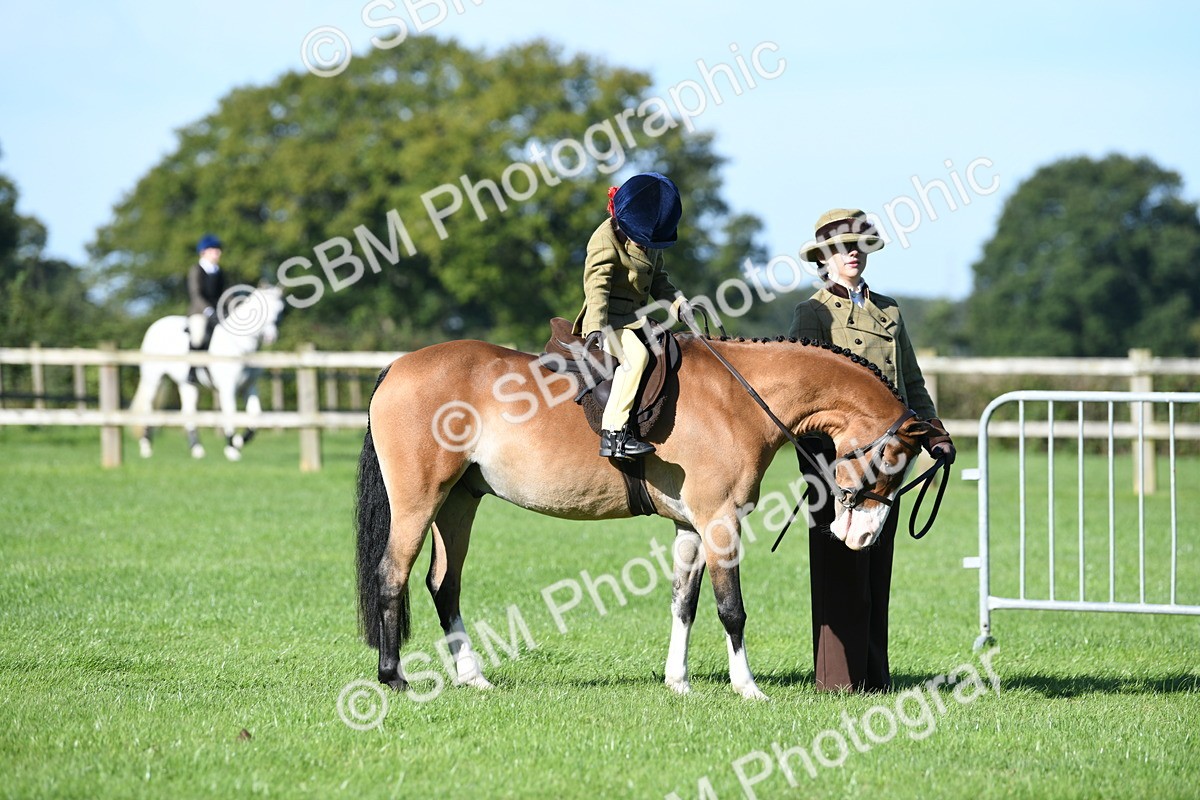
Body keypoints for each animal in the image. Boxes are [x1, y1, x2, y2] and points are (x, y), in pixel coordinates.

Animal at [130, 285, 287, 461]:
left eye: (281, 310)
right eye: (260, 309)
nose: (270, 337)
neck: (242, 347)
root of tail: (156, 325)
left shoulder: (250, 387)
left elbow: (255, 417)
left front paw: (238, 442)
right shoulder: (227, 388)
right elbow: (230, 414)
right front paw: (231, 449)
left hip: (187, 385)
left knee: (188, 412)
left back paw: (196, 449)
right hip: (154, 379)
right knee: (148, 409)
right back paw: (146, 448)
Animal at [354, 334, 933, 700]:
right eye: (891, 461)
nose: (864, 536)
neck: (737, 399)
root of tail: (397, 366)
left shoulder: (690, 527)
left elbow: (685, 604)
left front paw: (678, 682)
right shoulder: (720, 522)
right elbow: (732, 610)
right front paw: (747, 688)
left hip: (458, 503)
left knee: (443, 584)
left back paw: (471, 676)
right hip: (419, 502)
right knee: (393, 575)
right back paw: (393, 677)